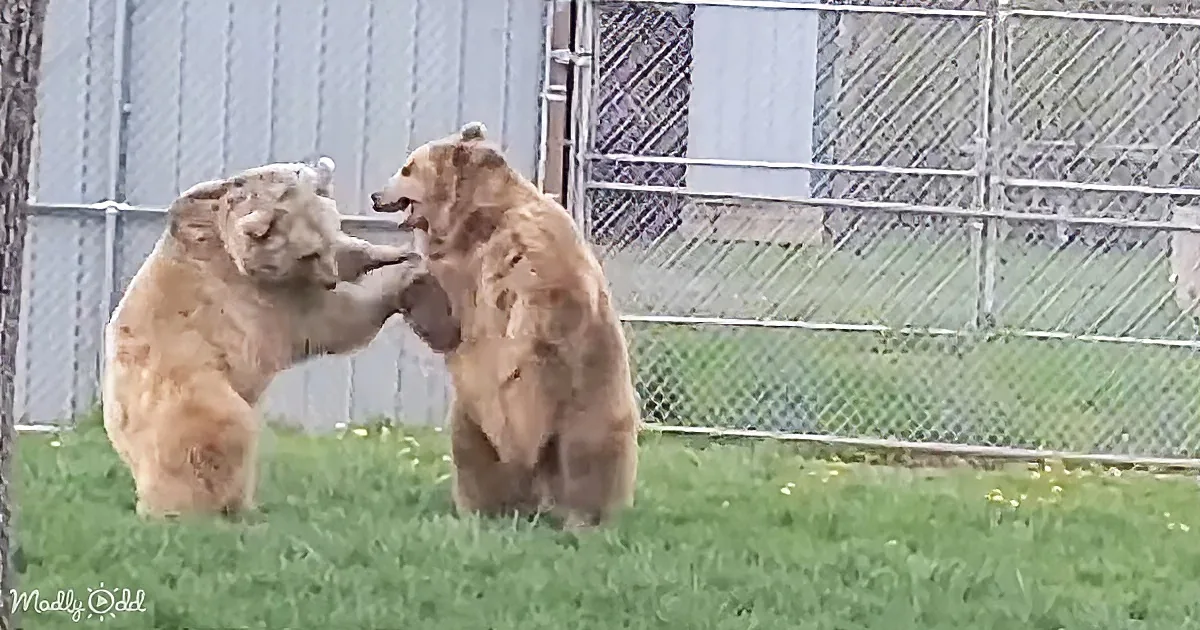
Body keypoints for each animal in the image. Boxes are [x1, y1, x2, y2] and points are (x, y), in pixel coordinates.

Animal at [103, 157, 460, 518]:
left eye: (328, 239)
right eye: (308, 253)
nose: (330, 279)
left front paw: (391, 254)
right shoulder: (262, 298)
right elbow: (333, 320)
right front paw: (399, 281)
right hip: (190, 393)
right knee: (221, 437)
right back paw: (219, 508)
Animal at [369, 122, 640, 530]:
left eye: (406, 168)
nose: (375, 195)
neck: (471, 227)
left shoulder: (529, 247)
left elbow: (542, 309)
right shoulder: (459, 281)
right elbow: (449, 324)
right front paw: (408, 283)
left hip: (587, 401)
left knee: (587, 457)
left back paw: (583, 520)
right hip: (473, 414)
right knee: (474, 455)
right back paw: (484, 512)